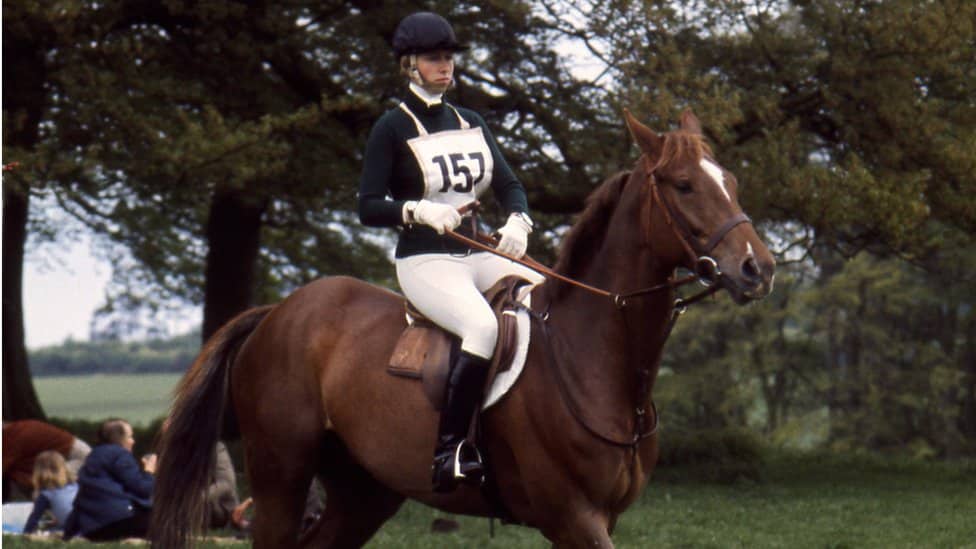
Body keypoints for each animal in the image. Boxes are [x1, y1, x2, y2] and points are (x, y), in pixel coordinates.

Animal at [150, 109, 775, 548]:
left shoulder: (601, 518)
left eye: (731, 181)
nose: (758, 268)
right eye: (683, 184)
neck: (593, 360)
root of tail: (277, 312)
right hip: (281, 475)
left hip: (362, 491)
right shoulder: (574, 518)